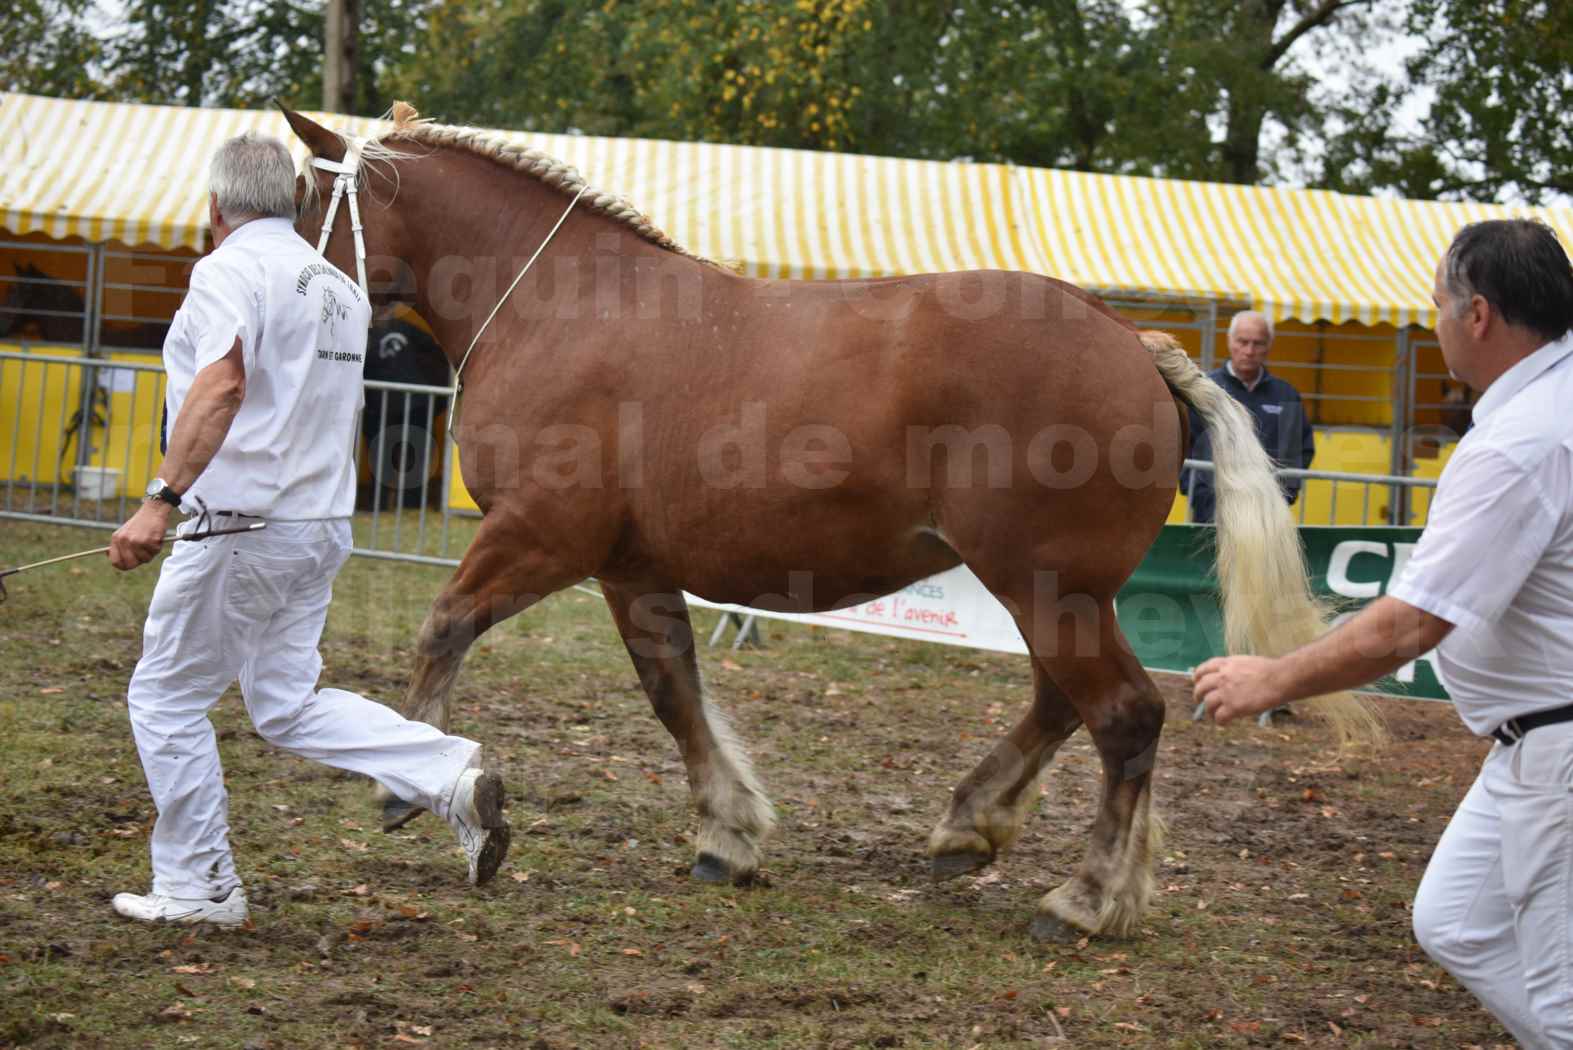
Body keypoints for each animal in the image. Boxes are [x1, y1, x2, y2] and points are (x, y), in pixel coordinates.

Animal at [286, 106, 1377, 936]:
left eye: (299, 205)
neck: (562, 307)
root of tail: (1134, 345)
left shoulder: (541, 537)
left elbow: (444, 628)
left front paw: (408, 785)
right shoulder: (630, 566)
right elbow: (673, 692)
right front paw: (727, 834)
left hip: (1045, 586)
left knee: (1121, 715)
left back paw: (1083, 897)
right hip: (1054, 592)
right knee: (1063, 704)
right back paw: (969, 828)